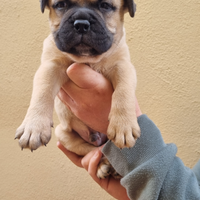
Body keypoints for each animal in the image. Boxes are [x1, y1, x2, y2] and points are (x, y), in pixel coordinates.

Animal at [15, 0, 141, 178]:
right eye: (61, 5)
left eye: (105, 5)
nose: (81, 24)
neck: (87, 59)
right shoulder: (50, 66)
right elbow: (42, 92)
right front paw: (34, 126)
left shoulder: (123, 66)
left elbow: (123, 92)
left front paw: (124, 125)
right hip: (63, 134)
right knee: (94, 150)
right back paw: (104, 166)